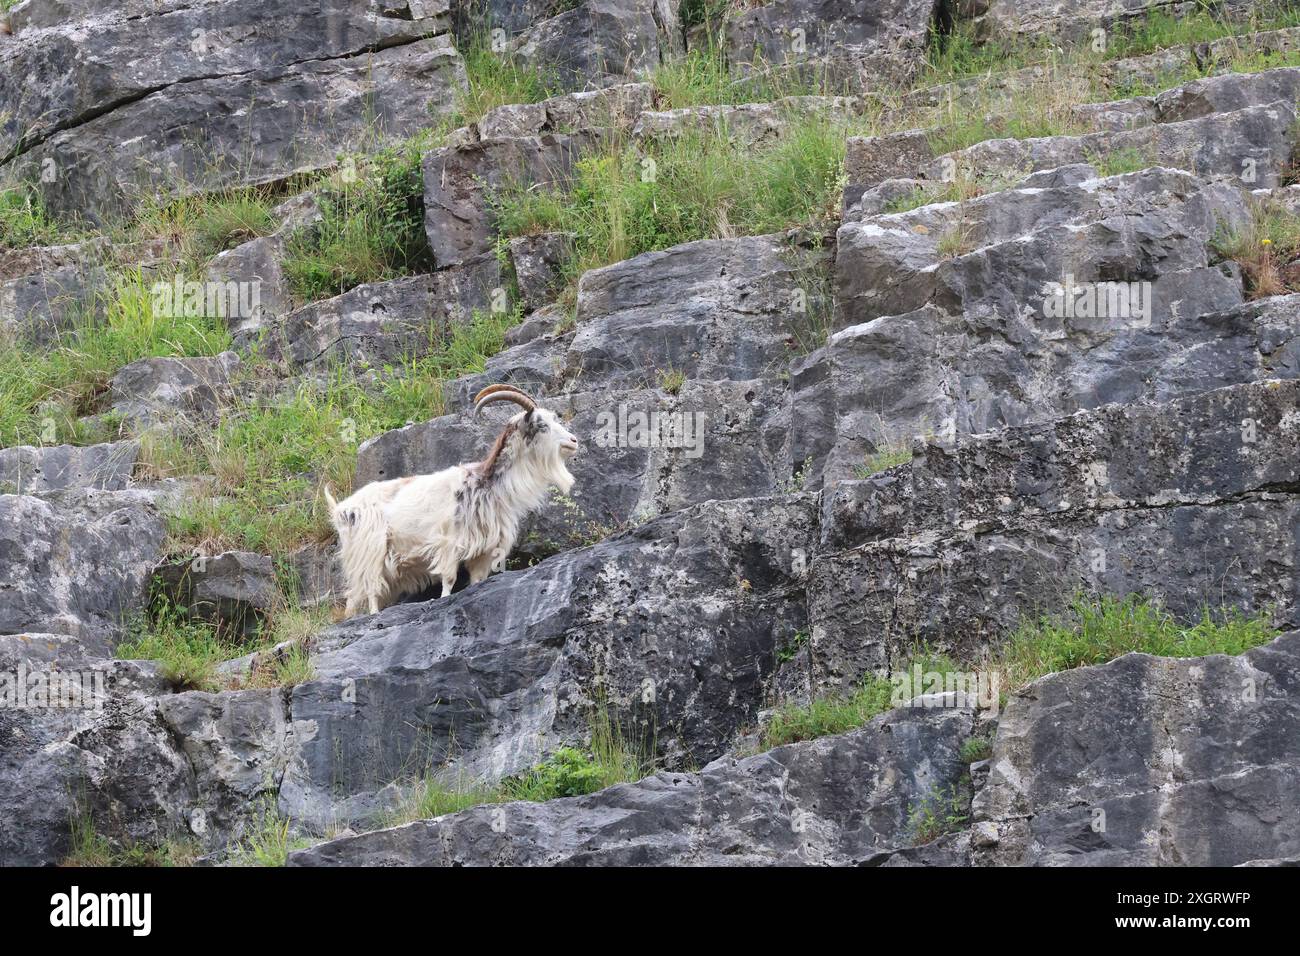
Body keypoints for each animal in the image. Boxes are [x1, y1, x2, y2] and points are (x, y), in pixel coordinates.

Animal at [325, 384, 579, 617]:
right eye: (542, 426)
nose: (574, 441)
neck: (484, 483)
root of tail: (341, 509)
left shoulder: (484, 551)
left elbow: (476, 580)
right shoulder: (448, 542)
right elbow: (448, 578)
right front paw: (444, 600)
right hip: (369, 550)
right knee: (371, 588)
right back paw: (373, 615)